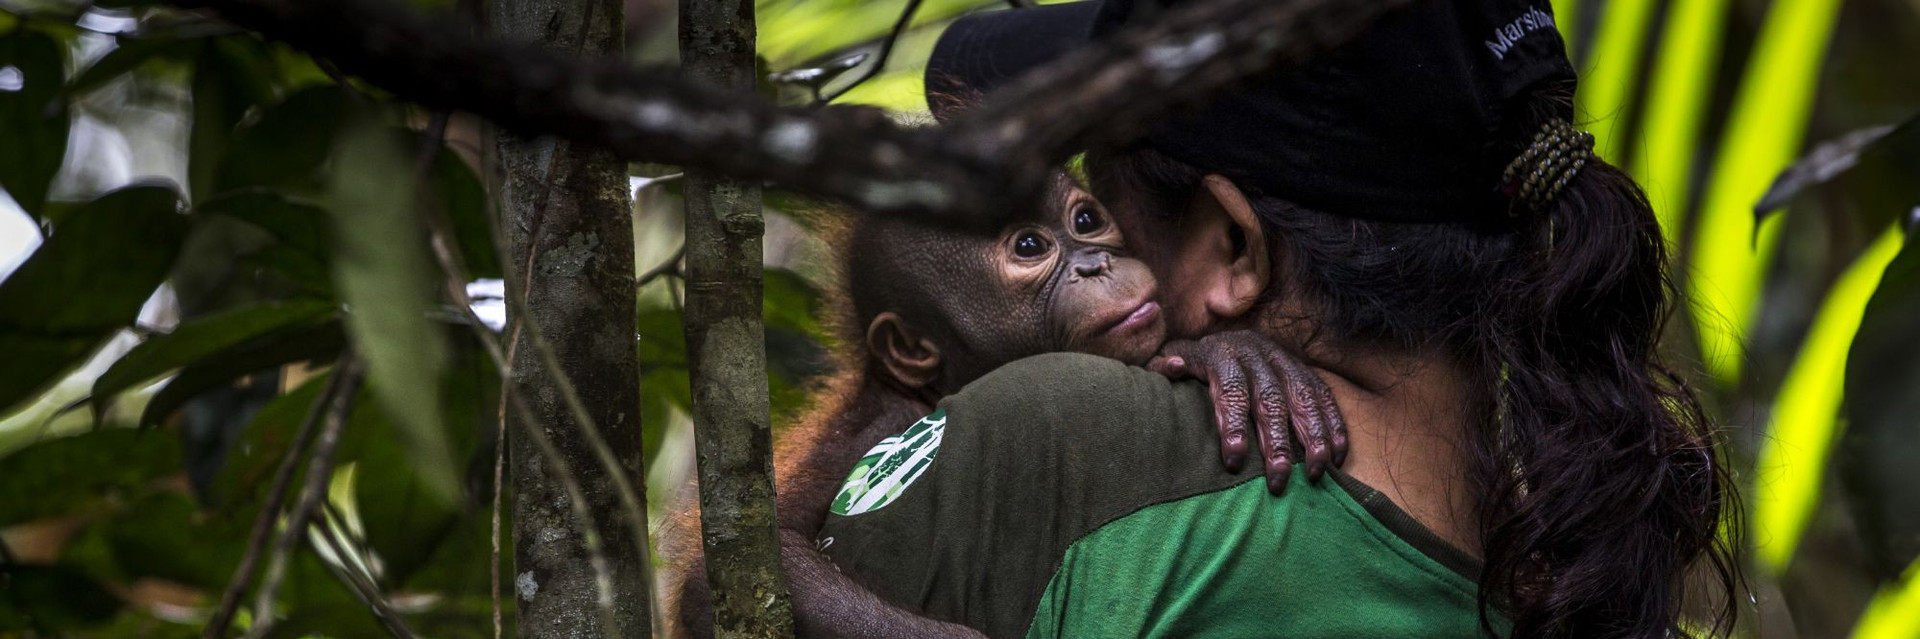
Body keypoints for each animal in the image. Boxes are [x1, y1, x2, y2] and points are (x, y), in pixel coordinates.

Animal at [660, 171, 1341, 638]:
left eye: (1087, 220)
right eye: (1031, 246)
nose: (1097, 263)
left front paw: (1222, 355)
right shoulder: (877, 430)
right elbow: (715, 586)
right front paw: (1224, 353)